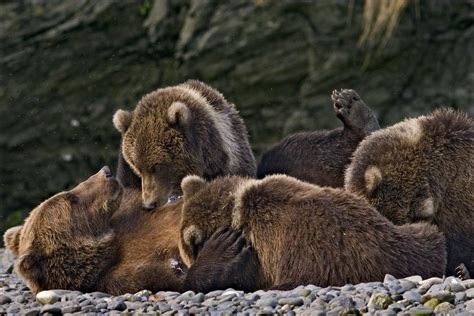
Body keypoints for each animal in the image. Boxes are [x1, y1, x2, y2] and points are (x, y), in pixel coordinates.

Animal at [2, 168, 256, 294]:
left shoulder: (134, 213)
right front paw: (222, 248)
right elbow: (181, 280)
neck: (111, 248)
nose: (105, 171)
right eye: (71, 199)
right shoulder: (119, 278)